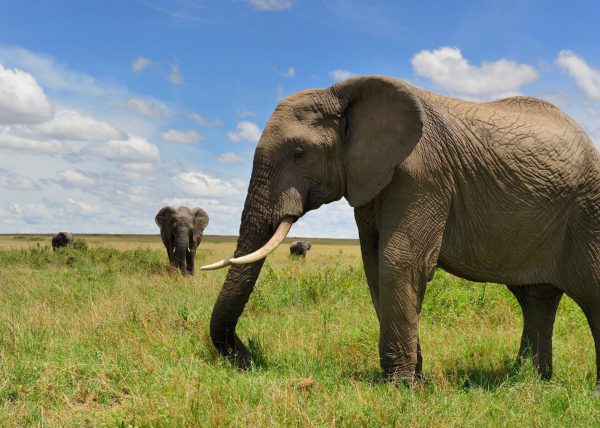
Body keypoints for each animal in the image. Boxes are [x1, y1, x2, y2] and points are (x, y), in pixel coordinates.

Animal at [204, 76, 600, 392]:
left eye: (299, 153)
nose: (246, 357)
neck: (344, 93)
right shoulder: (370, 180)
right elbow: (375, 265)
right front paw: (414, 381)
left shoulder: (423, 176)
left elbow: (400, 262)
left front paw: (401, 389)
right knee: (536, 299)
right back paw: (531, 381)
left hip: (588, 210)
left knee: (589, 290)